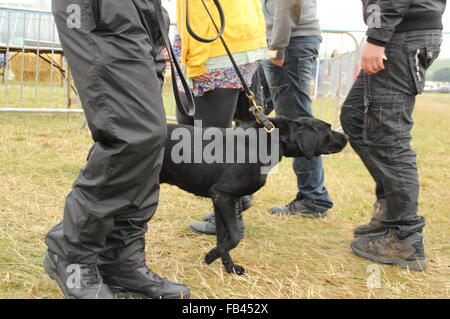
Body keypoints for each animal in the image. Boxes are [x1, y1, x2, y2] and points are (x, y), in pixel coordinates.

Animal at [160, 116, 346, 276]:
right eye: (328, 129)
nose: (346, 137)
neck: (271, 139)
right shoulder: (222, 196)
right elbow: (235, 237)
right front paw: (211, 256)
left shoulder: (223, 201)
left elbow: (223, 239)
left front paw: (230, 268)